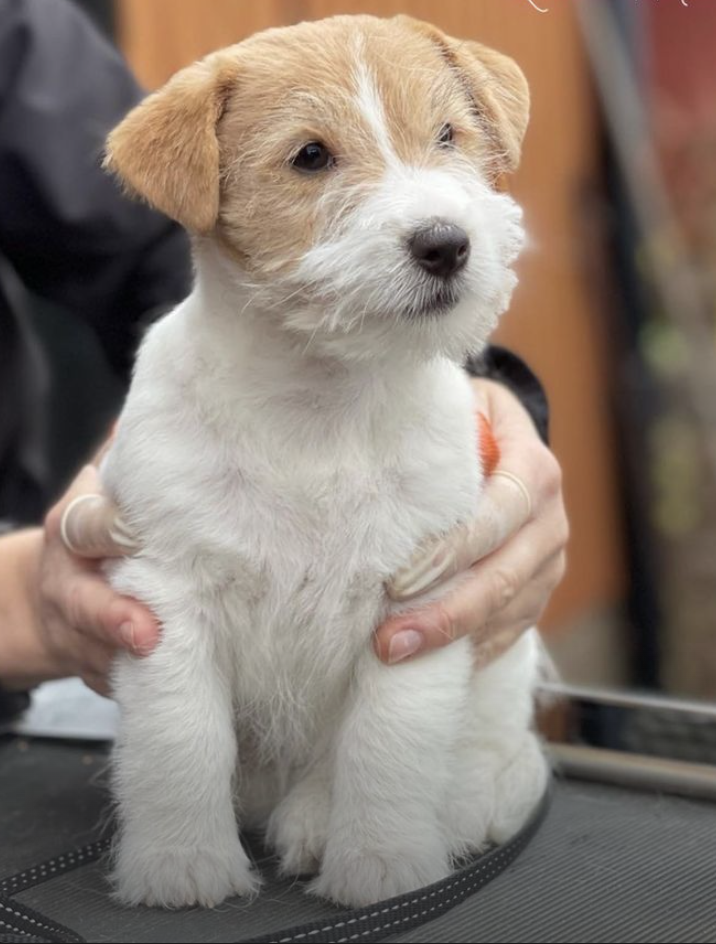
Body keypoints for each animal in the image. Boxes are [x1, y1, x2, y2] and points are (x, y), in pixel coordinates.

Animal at [101, 13, 547, 909]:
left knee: (485, 748)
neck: (320, 406)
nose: (446, 244)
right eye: (311, 156)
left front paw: (381, 864)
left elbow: (385, 745)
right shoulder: (167, 594)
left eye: (449, 135)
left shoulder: (417, 603)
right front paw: (180, 863)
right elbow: (179, 739)